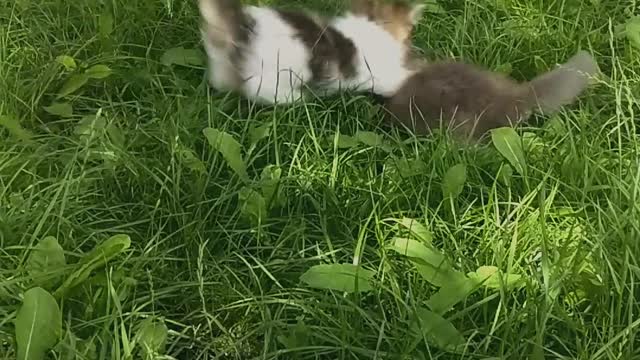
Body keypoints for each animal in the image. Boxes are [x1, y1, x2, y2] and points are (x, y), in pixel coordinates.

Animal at [198, 0, 422, 104]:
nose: (410, 44)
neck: (372, 24)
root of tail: (243, 29)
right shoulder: (383, 78)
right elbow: (403, 78)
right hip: (274, 79)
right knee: (260, 92)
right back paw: (298, 98)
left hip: (222, 66)